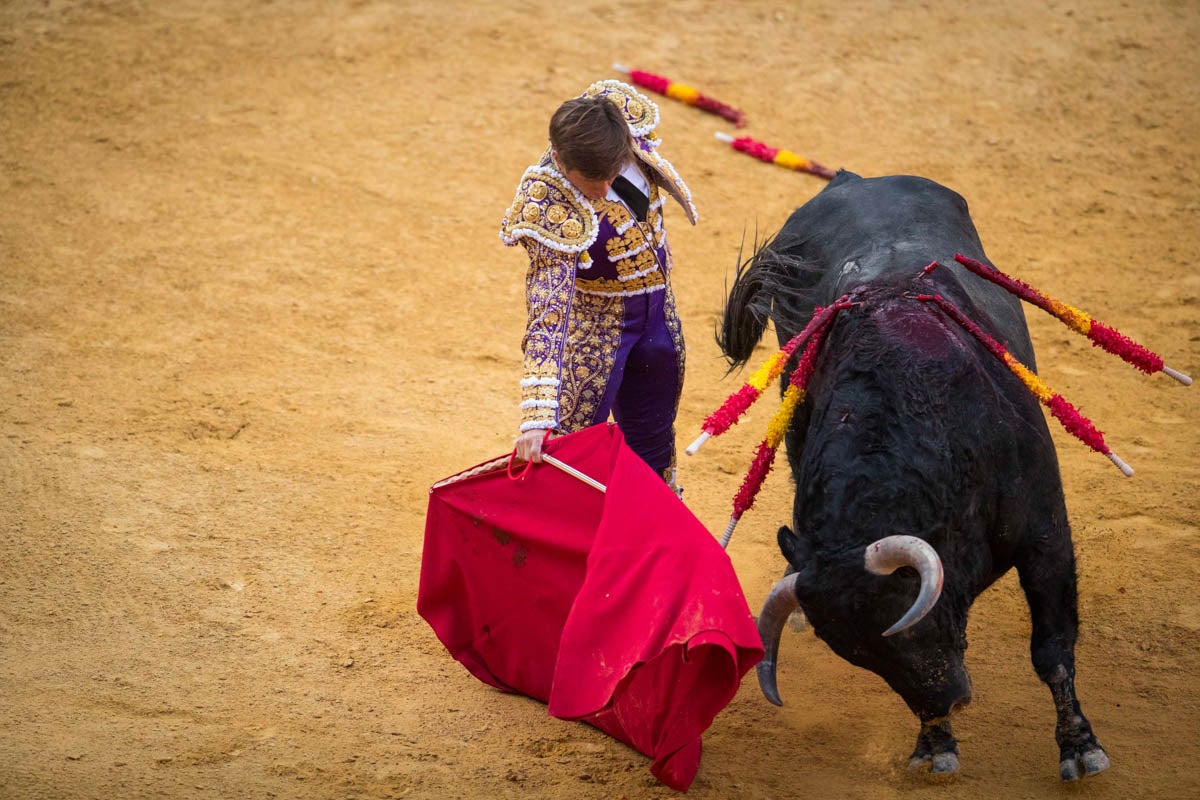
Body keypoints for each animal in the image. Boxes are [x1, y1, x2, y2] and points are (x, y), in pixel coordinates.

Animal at [715, 172, 1108, 777]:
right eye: (862, 656)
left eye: (913, 620)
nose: (952, 700)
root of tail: (853, 179)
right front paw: (935, 744)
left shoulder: (1046, 535)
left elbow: (1053, 649)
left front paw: (1080, 747)